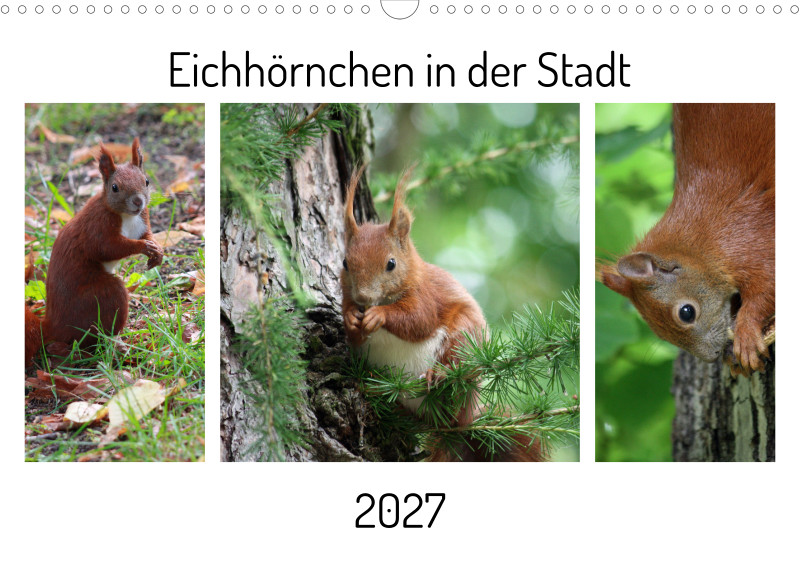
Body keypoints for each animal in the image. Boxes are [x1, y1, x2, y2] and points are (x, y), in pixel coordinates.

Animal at [25, 138, 163, 368]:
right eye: (115, 187)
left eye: (147, 181)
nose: (138, 202)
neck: (126, 216)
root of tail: (52, 327)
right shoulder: (97, 228)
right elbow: (109, 247)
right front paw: (143, 247)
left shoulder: (143, 220)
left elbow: (148, 235)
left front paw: (157, 250)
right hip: (100, 297)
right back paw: (114, 344)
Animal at [340, 165, 544, 462]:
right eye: (345, 262)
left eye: (391, 263)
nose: (364, 298)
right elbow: (351, 328)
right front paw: (350, 319)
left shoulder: (426, 296)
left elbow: (418, 320)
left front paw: (380, 315)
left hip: (464, 338)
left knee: (457, 363)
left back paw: (439, 375)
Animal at [600, 103, 774, 375]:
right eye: (660, 335)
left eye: (686, 312)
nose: (713, 356)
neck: (700, 244)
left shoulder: (750, 237)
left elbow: (766, 288)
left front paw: (745, 335)